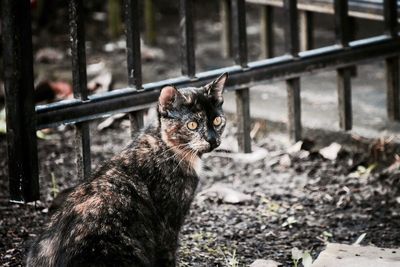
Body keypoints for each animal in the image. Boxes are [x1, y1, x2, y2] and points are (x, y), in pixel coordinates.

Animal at [26, 73, 228, 267]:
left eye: (218, 120)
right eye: (192, 125)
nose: (212, 140)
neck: (165, 146)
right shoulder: (168, 223)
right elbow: (168, 255)